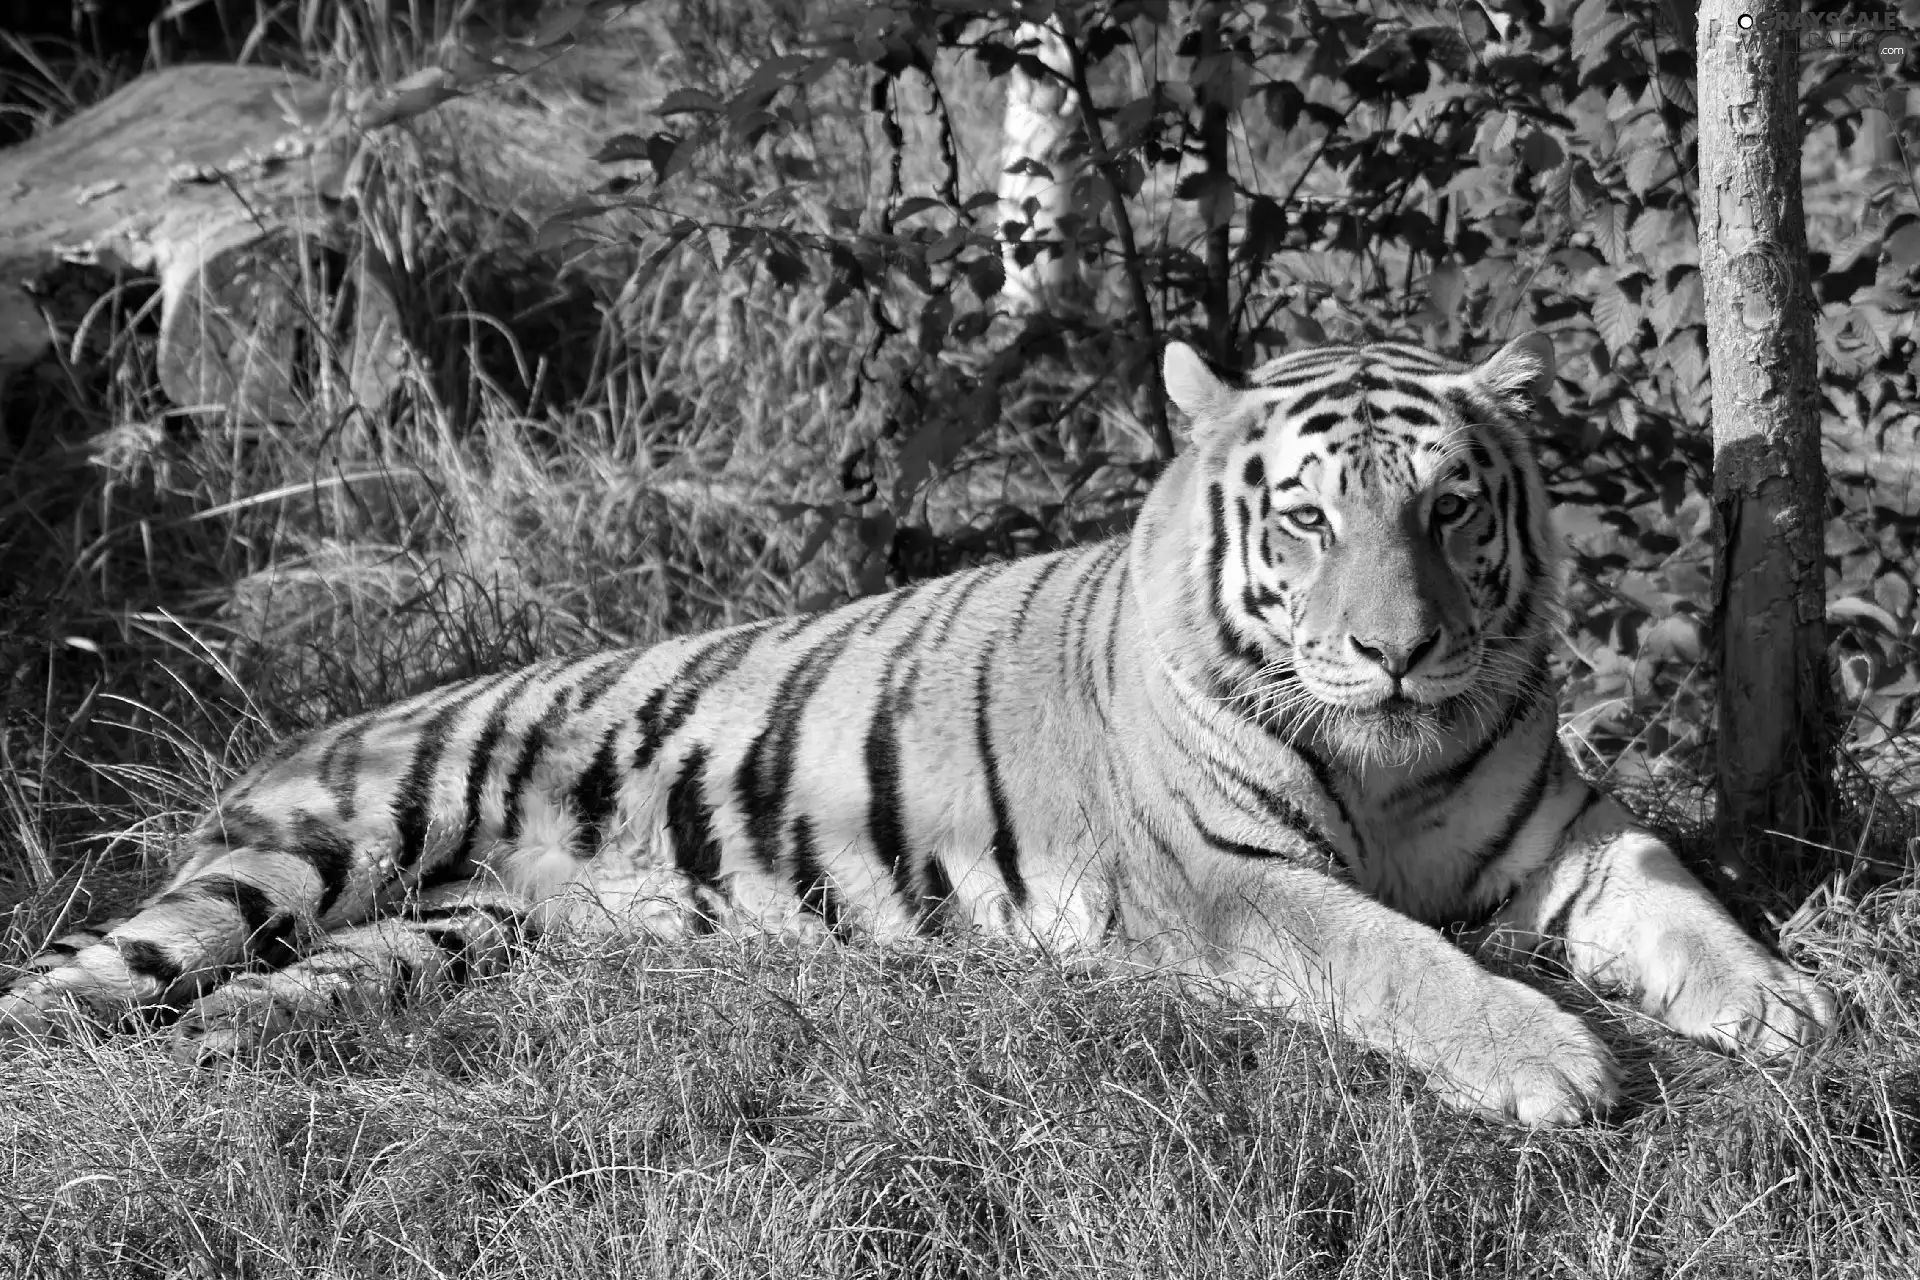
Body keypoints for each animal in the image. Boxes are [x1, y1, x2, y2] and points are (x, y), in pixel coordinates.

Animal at [0, 337, 1827, 1120]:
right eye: (1307, 521)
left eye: (1450, 509)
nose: (1394, 651)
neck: (1386, 760)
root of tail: (313, 726)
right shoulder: (1233, 880)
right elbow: (1401, 956)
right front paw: (1555, 1065)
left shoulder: (1566, 833)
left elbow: (1678, 894)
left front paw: (1789, 1005)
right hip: (297, 863)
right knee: (79, 987)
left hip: (426, 946)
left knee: (244, 1020)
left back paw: (230, 1068)